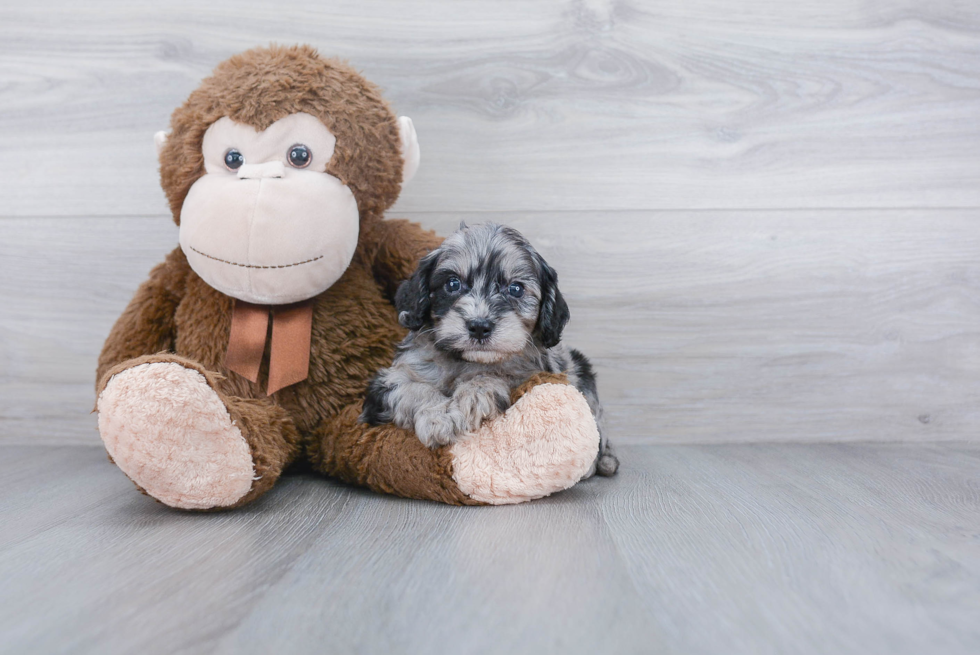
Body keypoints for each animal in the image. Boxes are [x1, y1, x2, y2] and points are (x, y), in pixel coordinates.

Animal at [360, 223, 620, 480]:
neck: (466, 360)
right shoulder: (386, 382)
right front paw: (439, 416)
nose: (479, 326)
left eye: (516, 289)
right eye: (452, 284)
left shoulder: (533, 374)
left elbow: (496, 375)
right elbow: (413, 388)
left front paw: (475, 393)